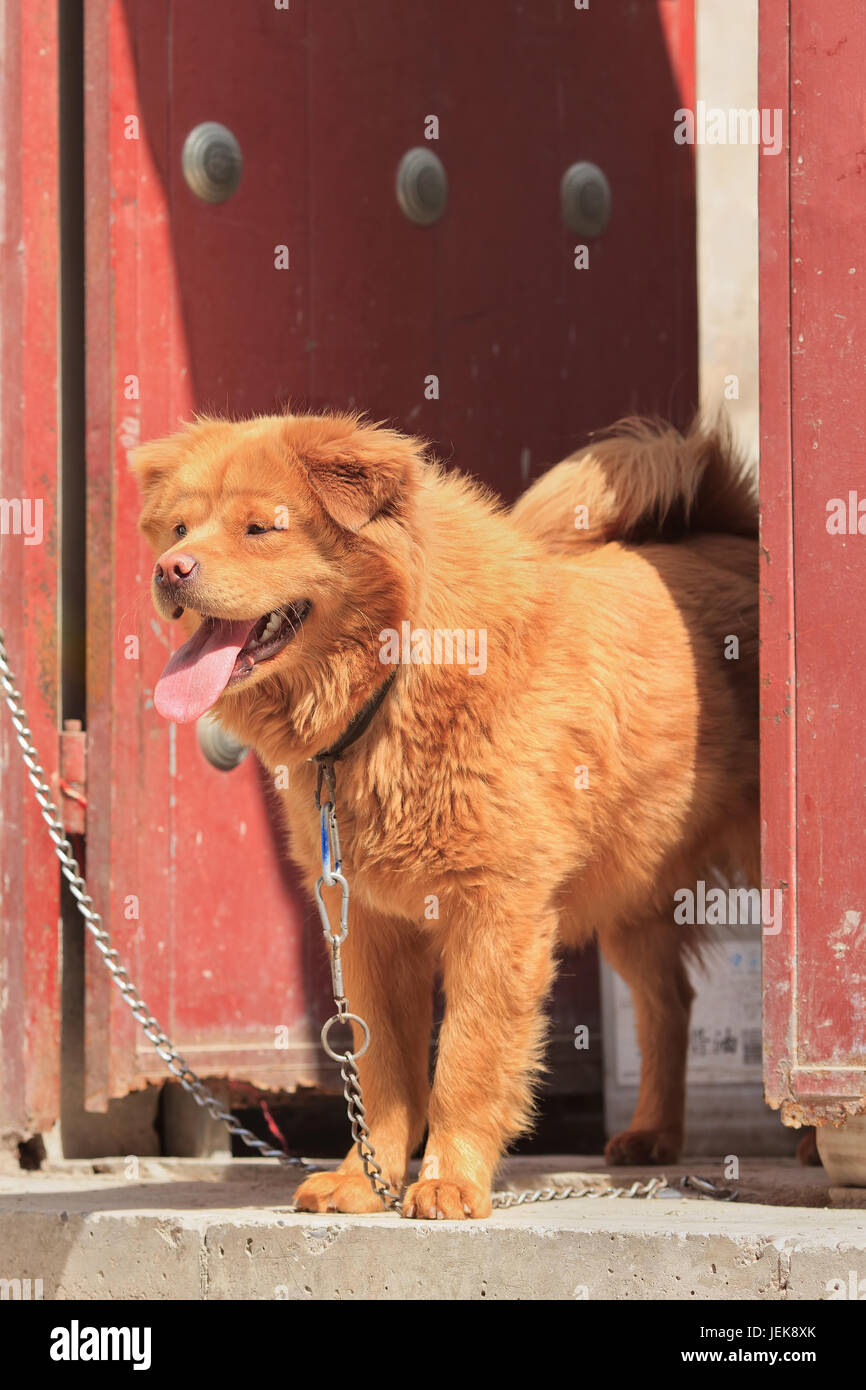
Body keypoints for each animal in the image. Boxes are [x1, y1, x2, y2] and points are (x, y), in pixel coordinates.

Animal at [134, 411, 756, 1217]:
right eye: (180, 527)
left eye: (260, 528)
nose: (170, 569)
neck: (390, 684)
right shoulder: (368, 923)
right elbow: (385, 1072)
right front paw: (366, 1179)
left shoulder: (497, 910)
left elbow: (466, 1059)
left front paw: (449, 1181)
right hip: (632, 900)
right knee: (668, 1003)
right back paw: (653, 1136)